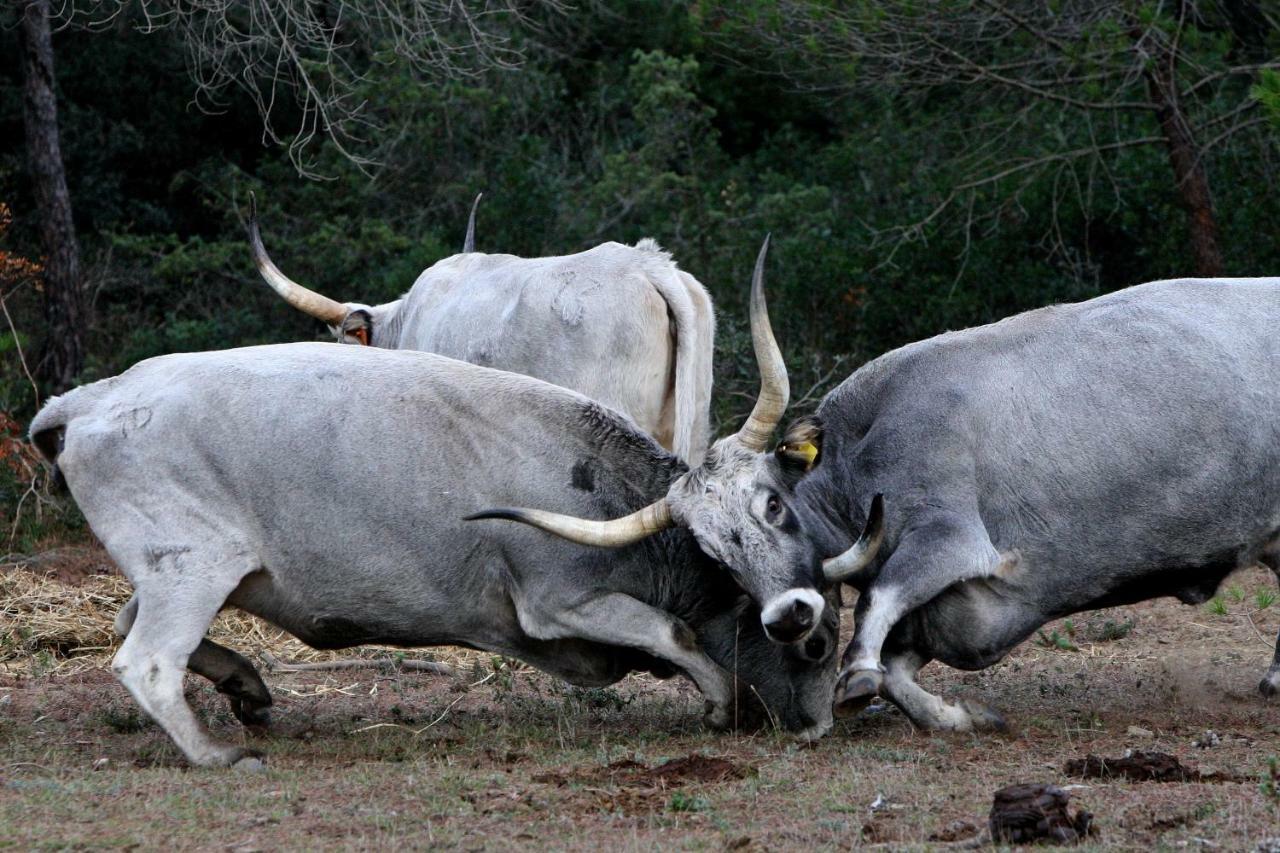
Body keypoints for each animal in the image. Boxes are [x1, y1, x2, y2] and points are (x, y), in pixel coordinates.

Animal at [32, 343, 839, 768]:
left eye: (775, 503)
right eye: (716, 545)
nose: (800, 620)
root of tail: (89, 400)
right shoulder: (558, 605)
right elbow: (672, 634)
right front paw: (719, 703)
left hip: (181, 572)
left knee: (128, 623)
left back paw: (247, 686)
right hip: (193, 569)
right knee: (145, 659)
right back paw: (213, 752)